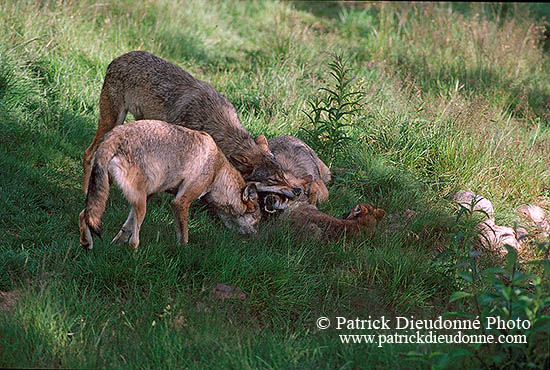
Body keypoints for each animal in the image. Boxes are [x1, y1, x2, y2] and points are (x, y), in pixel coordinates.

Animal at [78, 120, 266, 250]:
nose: (258, 240)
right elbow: (184, 237)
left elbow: (125, 228)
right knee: (134, 241)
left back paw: (87, 244)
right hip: (141, 205)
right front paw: (184, 253)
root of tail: (112, 137)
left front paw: (114, 245)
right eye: (257, 220)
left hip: (123, 197)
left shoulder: (149, 195)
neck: (217, 171)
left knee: (84, 215)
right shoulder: (180, 202)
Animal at [82, 51, 300, 199]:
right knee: (88, 153)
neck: (216, 124)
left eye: (282, 174)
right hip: (112, 121)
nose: (297, 190)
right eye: (272, 180)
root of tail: (118, 58)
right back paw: (85, 191)